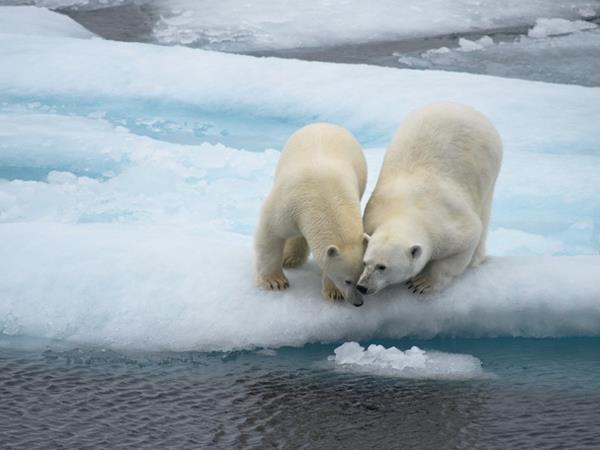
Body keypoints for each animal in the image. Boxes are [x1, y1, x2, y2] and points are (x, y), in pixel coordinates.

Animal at [255, 122, 368, 306]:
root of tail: (324, 123)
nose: (358, 302)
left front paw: (333, 292)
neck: (324, 195)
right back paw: (289, 259)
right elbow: (271, 232)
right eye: (347, 280)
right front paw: (275, 281)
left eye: (362, 278)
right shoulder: (288, 204)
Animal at [356, 103, 502, 298]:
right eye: (365, 262)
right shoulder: (372, 214)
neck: (404, 210)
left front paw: (422, 283)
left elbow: (467, 240)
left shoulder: (448, 226)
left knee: (484, 213)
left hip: (489, 165)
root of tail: (463, 107)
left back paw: (477, 259)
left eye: (383, 267)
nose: (362, 286)